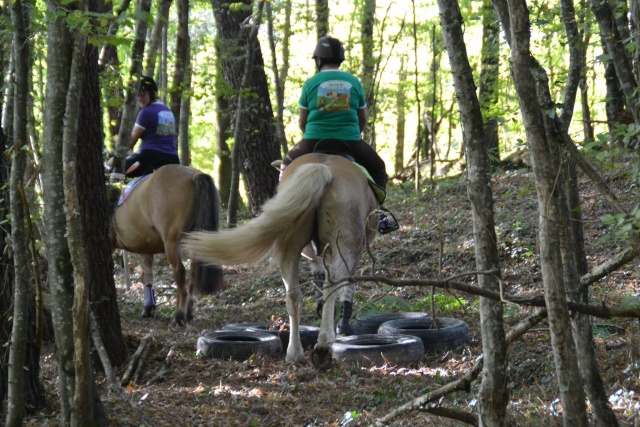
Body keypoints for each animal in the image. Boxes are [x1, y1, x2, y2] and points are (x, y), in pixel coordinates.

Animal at [111, 164, 226, 324]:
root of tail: (193, 175)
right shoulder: (145, 249)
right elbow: (147, 275)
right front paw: (148, 308)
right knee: (193, 270)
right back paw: (189, 310)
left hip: (171, 243)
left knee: (179, 271)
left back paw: (179, 314)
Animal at [182, 152, 378, 366]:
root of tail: (321, 167)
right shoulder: (351, 252)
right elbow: (347, 287)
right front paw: (342, 327)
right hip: (343, 244)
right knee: (332, 286)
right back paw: (324, 344)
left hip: (290, 246)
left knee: (293, 296)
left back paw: (294, 353)